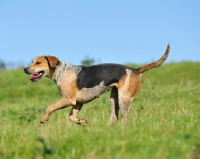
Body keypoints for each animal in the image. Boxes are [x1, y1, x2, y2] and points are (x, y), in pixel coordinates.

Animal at [23, 43, 170, 125]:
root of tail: (135, 69)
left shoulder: (68, 100)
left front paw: (43, 120)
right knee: (114, 117)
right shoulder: (78, 103)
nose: (25, 69)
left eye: (38, 63)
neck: (61, 71)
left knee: (125, 119)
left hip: (124, 99)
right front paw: (82, 122)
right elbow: (71, 117)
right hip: (114, 99)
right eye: (32, 62)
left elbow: (50, 107)